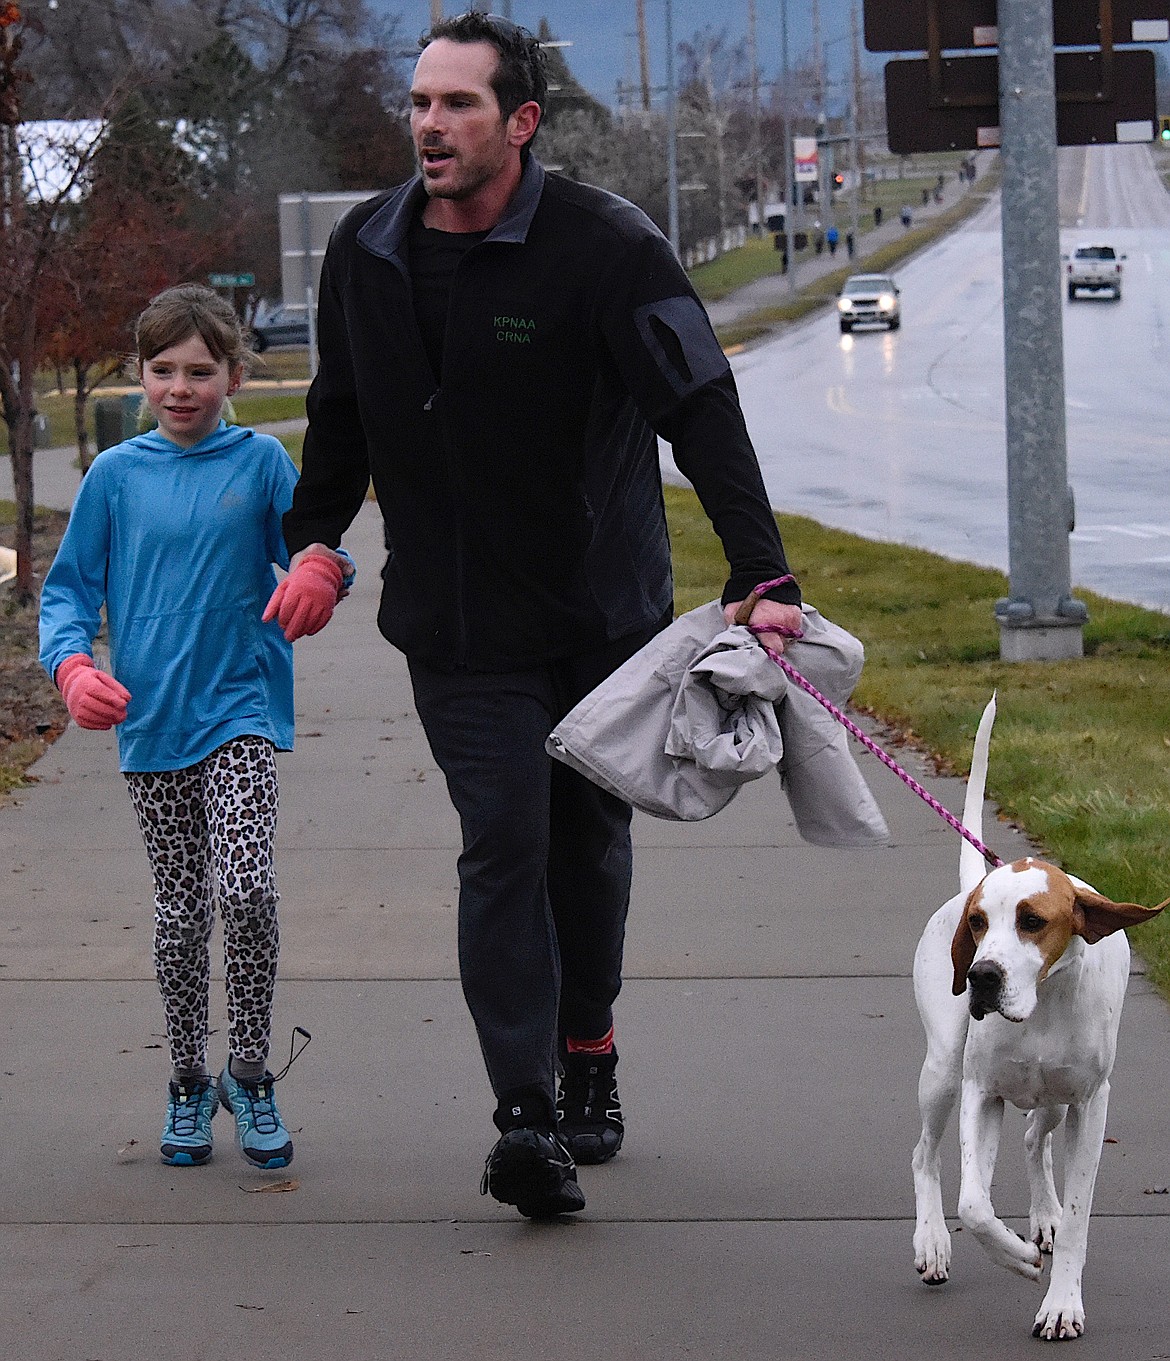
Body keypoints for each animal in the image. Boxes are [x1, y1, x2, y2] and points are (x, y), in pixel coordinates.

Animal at [908, 702, 1164, 1339]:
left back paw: (1043, 1215)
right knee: (925, 1155)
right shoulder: (981, 1092)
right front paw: (1018, 1257)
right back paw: (932, 1243)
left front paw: (1062, 1303)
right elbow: (974, 1205)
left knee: (1033, 1138)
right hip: (943, 1071)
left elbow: (1077, 1216)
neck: (1043, 1007)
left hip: (1055, 1099)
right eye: (978, 923)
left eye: (1032, 920)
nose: (981, 976)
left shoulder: (1091, 1105)